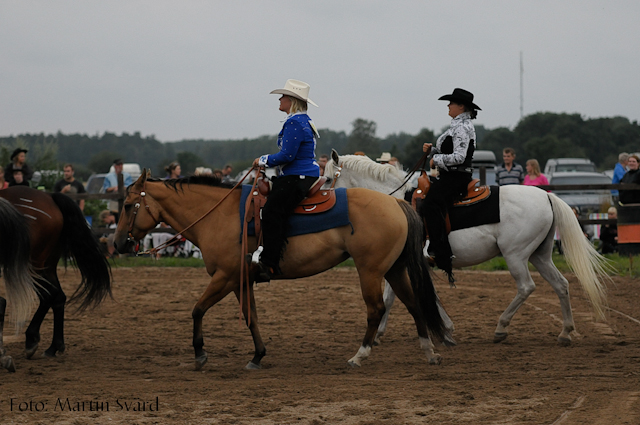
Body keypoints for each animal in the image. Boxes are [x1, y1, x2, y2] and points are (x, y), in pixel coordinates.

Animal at [0, 186, 112, 362]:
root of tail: (50, 196)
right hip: (48, 266)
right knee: (58, 297)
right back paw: (54, 346)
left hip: (32, 265)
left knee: (49, 295)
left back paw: (32, 340)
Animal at [112, 174, 448, 370]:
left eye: (128, 205)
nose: (117, 244)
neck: (218, 216)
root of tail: (397, 203)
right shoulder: (240, 281)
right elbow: (251, 317)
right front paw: (258, 355)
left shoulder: (225, 276)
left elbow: (197, 309)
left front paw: (199, 354)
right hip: (393, 269)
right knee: (414, 304)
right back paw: (429, 352)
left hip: (370, 270)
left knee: (376, 309)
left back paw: (359, 356)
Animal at [324, 149, 608, 344]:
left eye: (327, 179)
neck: (396, 201)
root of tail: (546, 196)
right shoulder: (404, 261)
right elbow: (394, 296)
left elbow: (406, 296)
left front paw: (443, 330)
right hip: (540, 255)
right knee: (561, 284)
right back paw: (565, 333)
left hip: (515, 255)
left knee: (527, 287)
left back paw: (501, 328)